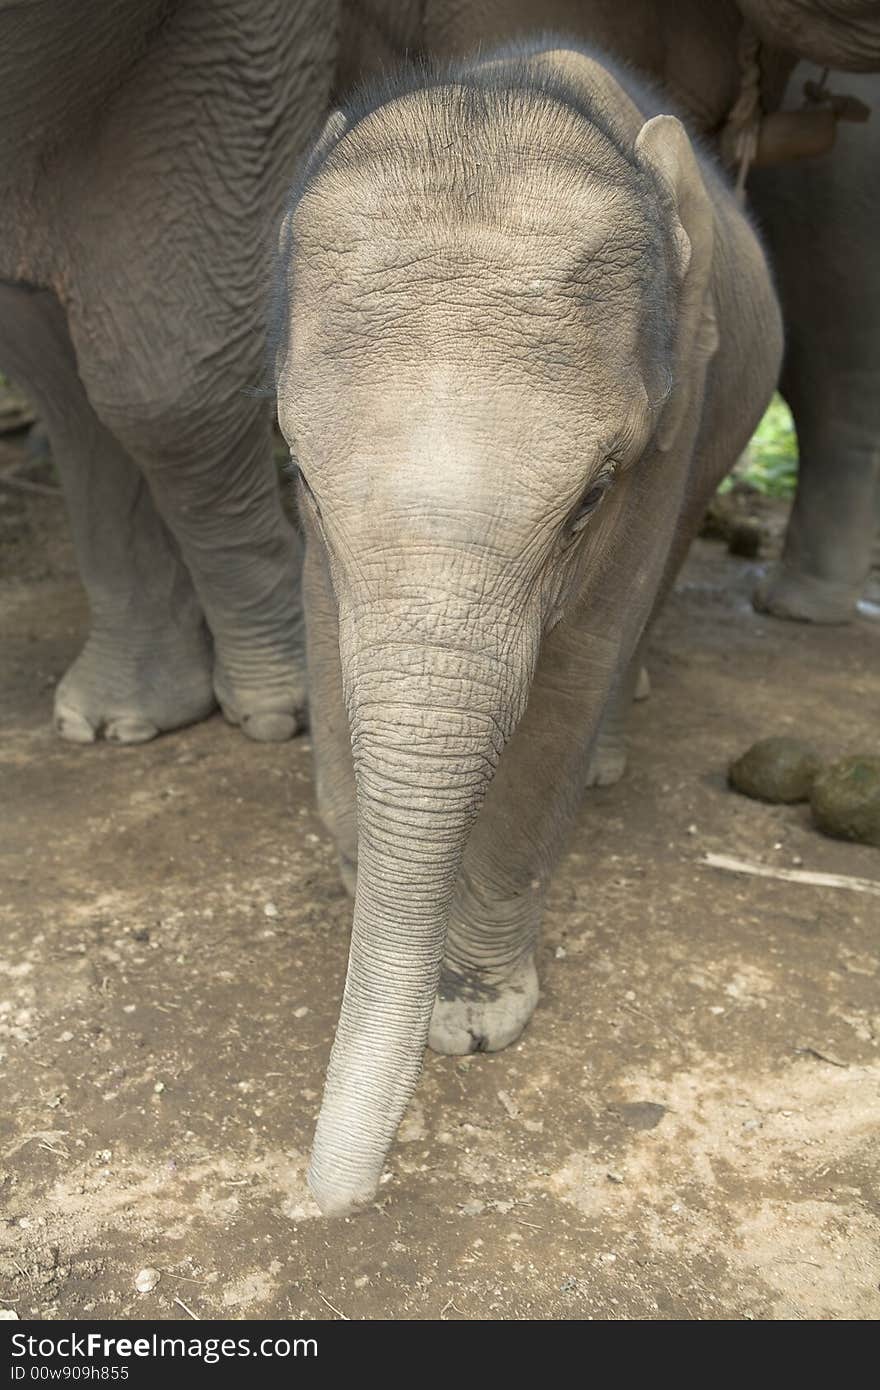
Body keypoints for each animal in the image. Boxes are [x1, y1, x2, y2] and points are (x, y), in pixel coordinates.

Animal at [276, 43, 784, 1212]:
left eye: (591, 494)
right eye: (297, 473)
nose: (323, 1206)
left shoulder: (675, 409)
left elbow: (572, 675)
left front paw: (470, 1018)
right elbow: (327, 643)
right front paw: (361, 882)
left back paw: (613, 759)